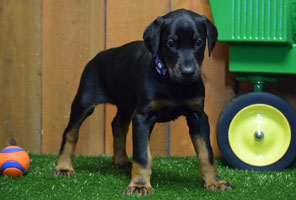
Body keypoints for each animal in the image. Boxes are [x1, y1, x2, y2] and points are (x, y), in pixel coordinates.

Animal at [53, 9, 234, 195]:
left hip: (126, 104)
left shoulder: (198, 116)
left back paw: (120, 160)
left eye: (199, 42)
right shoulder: (143, 117)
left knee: (118, 126)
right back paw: (64, 167)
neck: (172, 83)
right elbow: (142, 155)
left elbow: (207, 153)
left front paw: (215, 181)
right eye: (170, 42)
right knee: (70, 131)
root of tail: (98, 56)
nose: (188, 72)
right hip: (84, 101)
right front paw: (139, 184)